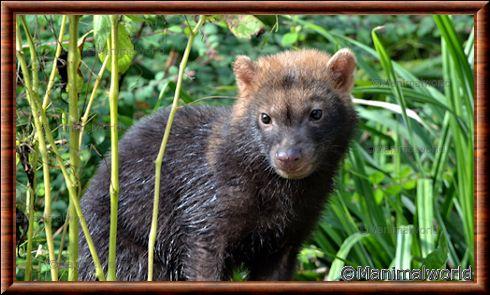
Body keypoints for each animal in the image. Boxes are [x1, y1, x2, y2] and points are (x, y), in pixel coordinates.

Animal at [79, 48, 356, 282]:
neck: (280, 201)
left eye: (316, 113)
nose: (288, 156)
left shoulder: (287, 242)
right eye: (265, 117)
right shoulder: (205, 230)